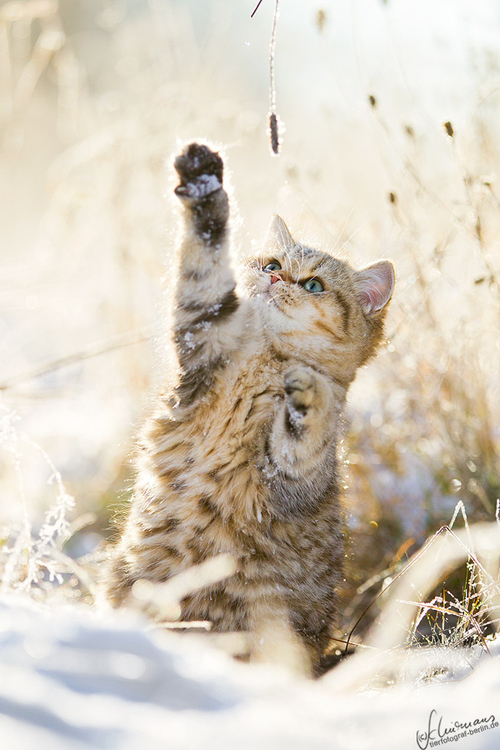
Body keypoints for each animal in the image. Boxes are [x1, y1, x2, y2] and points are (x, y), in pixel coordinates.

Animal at [105, 141, 394, 676]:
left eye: (314, 285)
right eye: (270, 261)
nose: (275, 276)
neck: (266, 357)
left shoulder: (291, 477)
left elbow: (305, 437)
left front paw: (309, 392)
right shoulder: (202, 333)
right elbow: (204, 260)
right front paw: (204, 182)